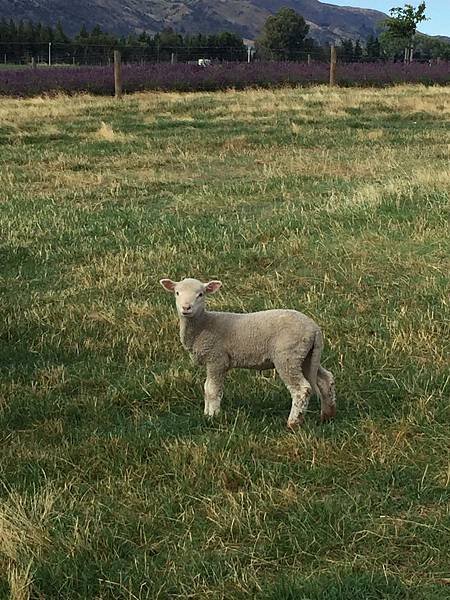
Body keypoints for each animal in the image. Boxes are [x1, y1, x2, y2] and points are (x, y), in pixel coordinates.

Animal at [160, 278, 336, 428]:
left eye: (200, 294)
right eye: (177, 293)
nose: (186, 308)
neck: (203, 325)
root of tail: (314, 329)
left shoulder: (217, 359)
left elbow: (212, 390)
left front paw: (213, 416)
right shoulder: (212, 361)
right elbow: (206, 387)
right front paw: (206, 414)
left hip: (288, 356)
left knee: (301, 389)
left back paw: (293, 423)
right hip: (306, 356)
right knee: (326, 379)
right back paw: (327, 416)